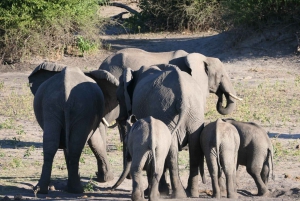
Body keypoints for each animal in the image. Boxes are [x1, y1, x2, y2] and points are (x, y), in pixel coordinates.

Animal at [28, 62, 118, 194]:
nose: (97, 174)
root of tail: (66, 90)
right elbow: (96, 142)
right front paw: (106, 179)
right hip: (78, 107)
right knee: (75, 146)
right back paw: (77, 190)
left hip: (53, 106)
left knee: (52, 145)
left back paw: (41, 190)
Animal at [116, 63, 226, 199]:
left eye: (118, 99)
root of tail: (183, 96)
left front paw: (157, 192)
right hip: (194, 113)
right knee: (193, 148)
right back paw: (190, 193)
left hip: (164, 110)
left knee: (172, 152)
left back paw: (178, 194)